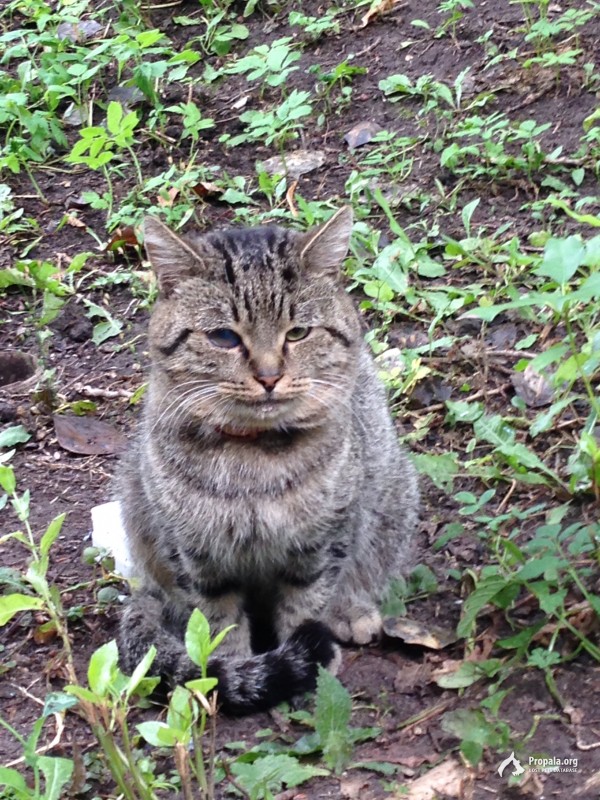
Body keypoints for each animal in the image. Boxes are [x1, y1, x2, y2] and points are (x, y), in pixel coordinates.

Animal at [117, 206, 418, 712]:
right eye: (223, 337)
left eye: (298, 333)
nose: (269, 377)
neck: (254, 461)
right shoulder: (196, 555)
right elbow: (217, 622)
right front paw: (227, 672)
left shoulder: (323, 540)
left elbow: (306, 604)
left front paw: (314, 669)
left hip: (394, 495)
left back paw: (352, 611)